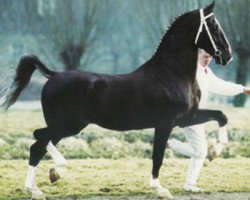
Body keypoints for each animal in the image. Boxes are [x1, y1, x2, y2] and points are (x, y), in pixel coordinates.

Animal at [1, 1, 232, 200]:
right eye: (213, 26)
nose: (227, 56)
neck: (170, 74)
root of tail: (53, 75)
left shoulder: (186, 118)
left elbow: (221, 116)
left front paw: (215, 150)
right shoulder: (165, 123)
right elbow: (158, 155)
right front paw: (159, 189)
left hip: (64, 126)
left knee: (38, 144)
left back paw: (39, 186)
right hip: (67, 125)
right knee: (38, 140)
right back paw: (52, 174)